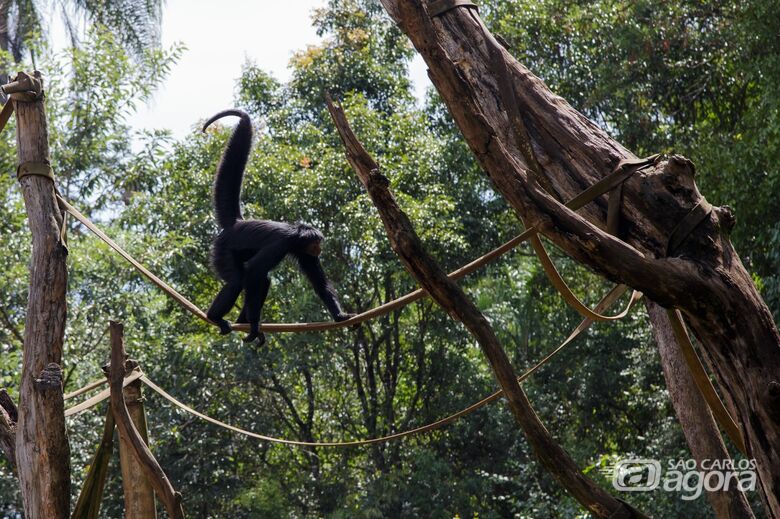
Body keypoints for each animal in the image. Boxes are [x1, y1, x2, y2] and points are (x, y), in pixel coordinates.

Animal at [206, 109, 354, 346]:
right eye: (316, 242)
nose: (319, 248)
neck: (295, 236)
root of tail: (236, 224)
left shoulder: (303, 252)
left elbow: (319, 283)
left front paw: (340, 315)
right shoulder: (281, 244)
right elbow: (253, 271)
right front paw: (254, 325)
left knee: (262, 280)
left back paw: (241, 321)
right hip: (222, 250)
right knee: (240, 279)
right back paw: (218, 318)